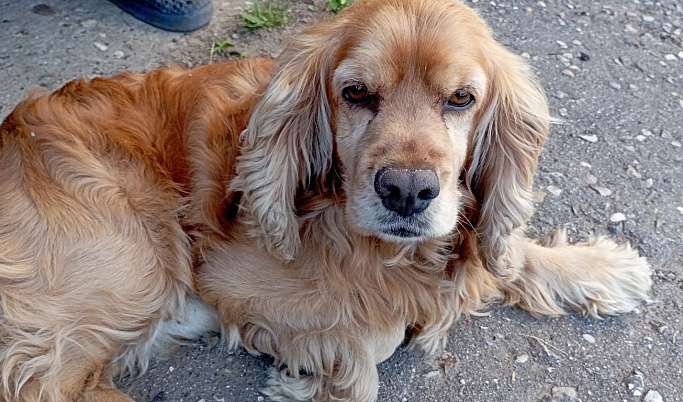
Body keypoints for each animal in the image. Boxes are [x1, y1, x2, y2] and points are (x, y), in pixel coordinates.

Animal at [0, 0, 652, 400]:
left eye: (462, 99)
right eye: (356, 93)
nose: (407, 191)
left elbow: (506, 252)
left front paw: (604, 268)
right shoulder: (229, 277)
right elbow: (374, 345)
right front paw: (306, 377)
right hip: (141, 261)